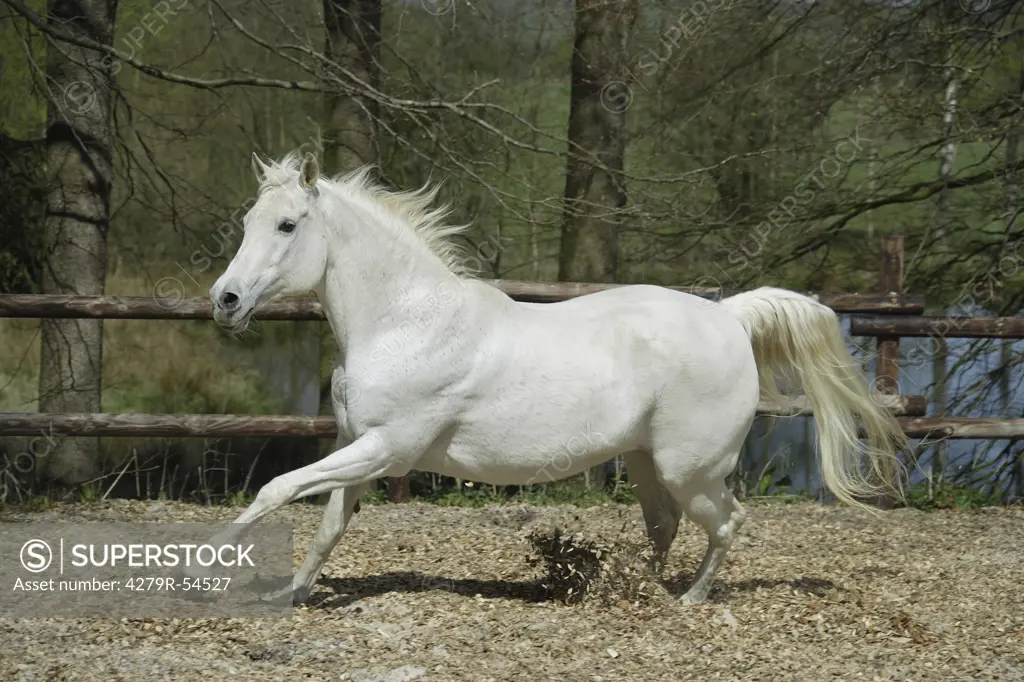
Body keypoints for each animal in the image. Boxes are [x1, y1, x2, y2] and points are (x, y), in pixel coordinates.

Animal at [207, 151, 905, 602]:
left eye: (287, 225)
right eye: (245, 223)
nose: (225, 301)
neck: (406, 322)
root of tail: (728, 316)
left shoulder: (385, 449)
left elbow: (274, 489)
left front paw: (207, 566)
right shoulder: (359, 447)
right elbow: (326, 528)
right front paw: (293, 594)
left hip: (692, 469)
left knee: (727, 523)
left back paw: (686, 601)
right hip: (647, 462)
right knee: (664, 526)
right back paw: (634, 588)